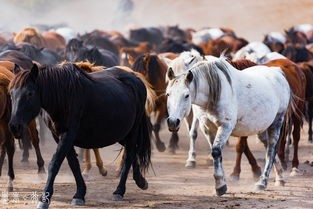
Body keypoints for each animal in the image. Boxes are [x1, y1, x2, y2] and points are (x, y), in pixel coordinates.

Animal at [9, 61, 155, 207]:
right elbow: (73, 164)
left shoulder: (68, 134)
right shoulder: (59, 136)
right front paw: (79, 194)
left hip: (133, 130)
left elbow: (55, 163)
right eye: (11, 93)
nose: (15, 127)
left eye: (29, 93)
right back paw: (140, 181)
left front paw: (44, 198)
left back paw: (119, 191)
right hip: (122, 133)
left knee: (129, 155)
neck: (63, 96)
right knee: (132, 151)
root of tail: (136, 79)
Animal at [166, 55, 292, 196]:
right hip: (262, 128)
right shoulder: (207, 127)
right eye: (168, 94)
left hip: (277, 121)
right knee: (269, 147)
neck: (213, 93)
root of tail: (278, 73)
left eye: (187, 95)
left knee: (271, 150)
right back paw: (280, 177)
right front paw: (222, 182)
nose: (172, 122)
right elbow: (217, 153)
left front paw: (220, 186)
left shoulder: (225, 126)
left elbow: (216, 151)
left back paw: (262, 182)